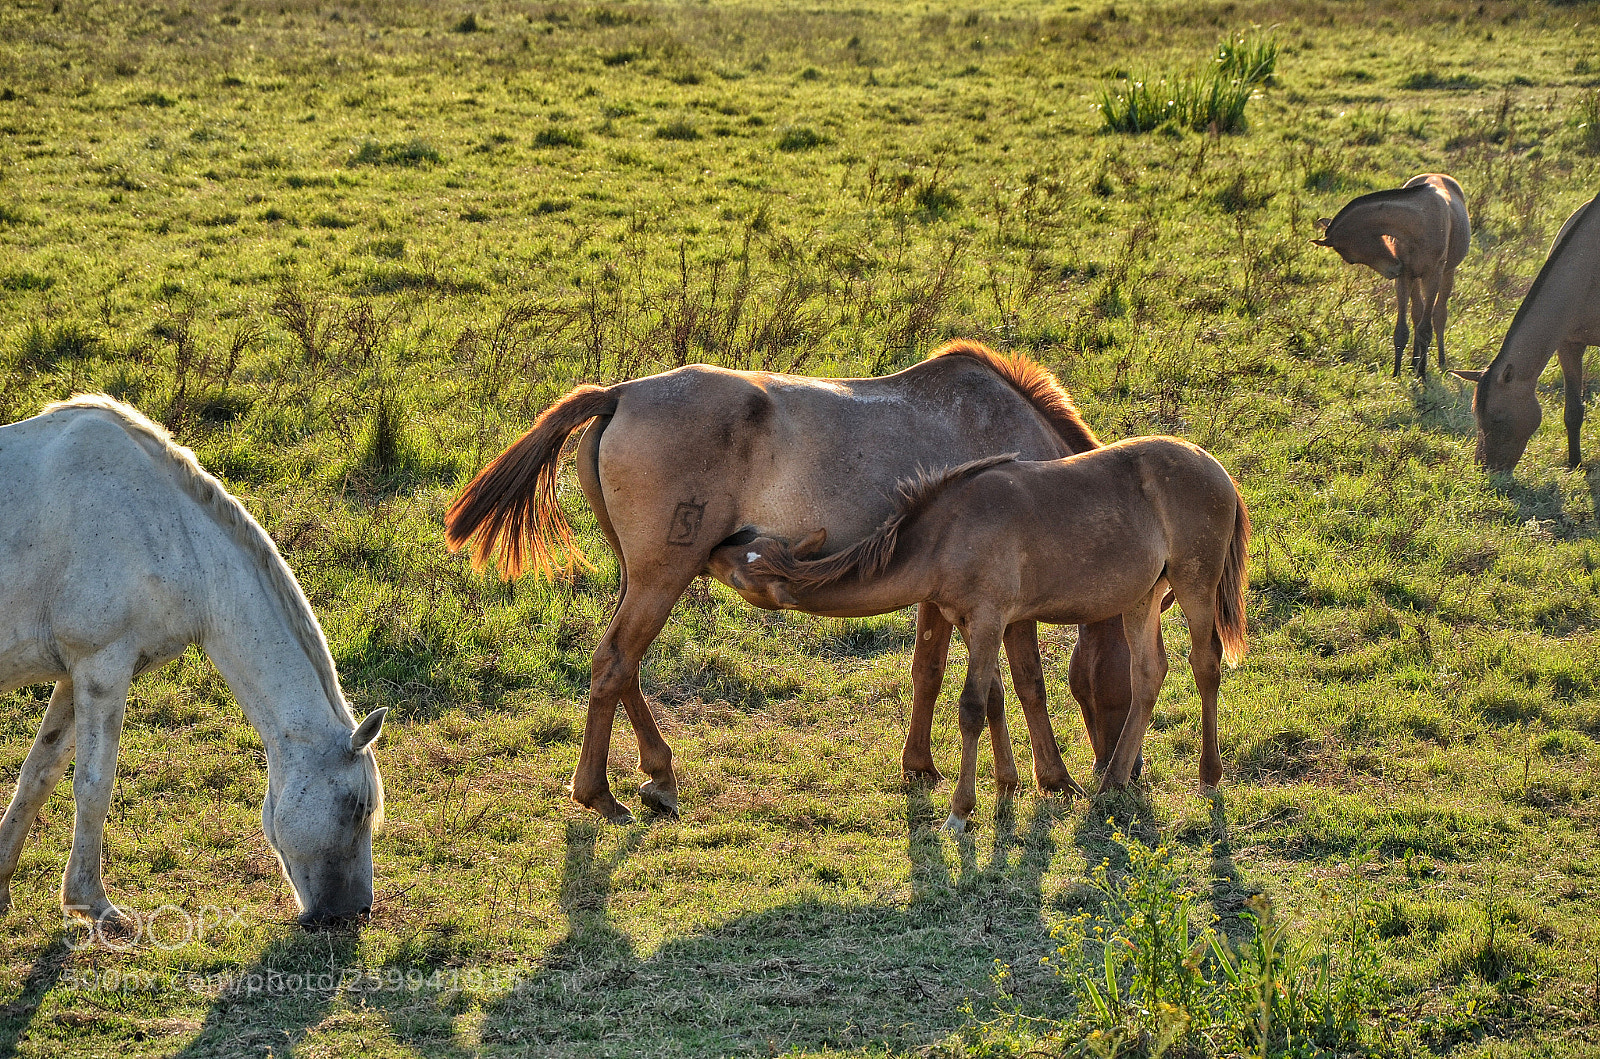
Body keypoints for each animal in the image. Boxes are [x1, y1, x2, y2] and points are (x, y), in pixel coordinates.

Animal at [0, 396, 387, 929]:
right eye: (357, 807)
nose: (353, 913)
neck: (161, 523)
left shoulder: (75, 676)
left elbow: (39, 774)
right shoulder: (102, 668)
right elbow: (94, 786)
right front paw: (93, 904)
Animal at [446, 341, 1134, 823]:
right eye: (1122, 692)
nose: (1119, 774)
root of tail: (620, 395)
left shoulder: (943, 592)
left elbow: (929, 671)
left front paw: (919, 765)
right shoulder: (1005, 599)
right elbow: (1028, 684)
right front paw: (1054, 777)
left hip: (640, 577)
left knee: (622, 668)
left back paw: (659, 775)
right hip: (661, 577)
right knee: (615, 661)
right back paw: (600, 794)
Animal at [707, 437, 1250, 831]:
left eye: (743, 566)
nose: (717, 544)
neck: (946, 534)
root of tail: (1217, 469)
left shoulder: (989, 618)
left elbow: (970, 707)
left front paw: (960, 810)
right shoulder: (969, 621)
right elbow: (994, 697)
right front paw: (1008, 782)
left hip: (1195, 582)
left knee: (1205, 664)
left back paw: (1208, 776)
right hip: (1143, 597)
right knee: (1148, 674)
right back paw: (1112, 782)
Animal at [1313, 173, 1471, 378]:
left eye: (1350, 259)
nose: (1393, 269)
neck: (1418, 223)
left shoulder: (1432, 275)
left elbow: (1426, 329)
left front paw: (1422, 374)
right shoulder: (1405, 276)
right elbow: (1402, 330)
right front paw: (1397, 373)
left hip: (1447, 272)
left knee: (1439, 315)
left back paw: (1440, 362)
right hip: (1415, 278)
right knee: (1417, 313)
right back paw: (1414, 363)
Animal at [1450, 193, 1600, 472]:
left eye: (1498, 419)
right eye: (1476, 415)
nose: (1485, 469)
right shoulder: (1568, 342)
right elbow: (1573, 411)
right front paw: (1574, 463)